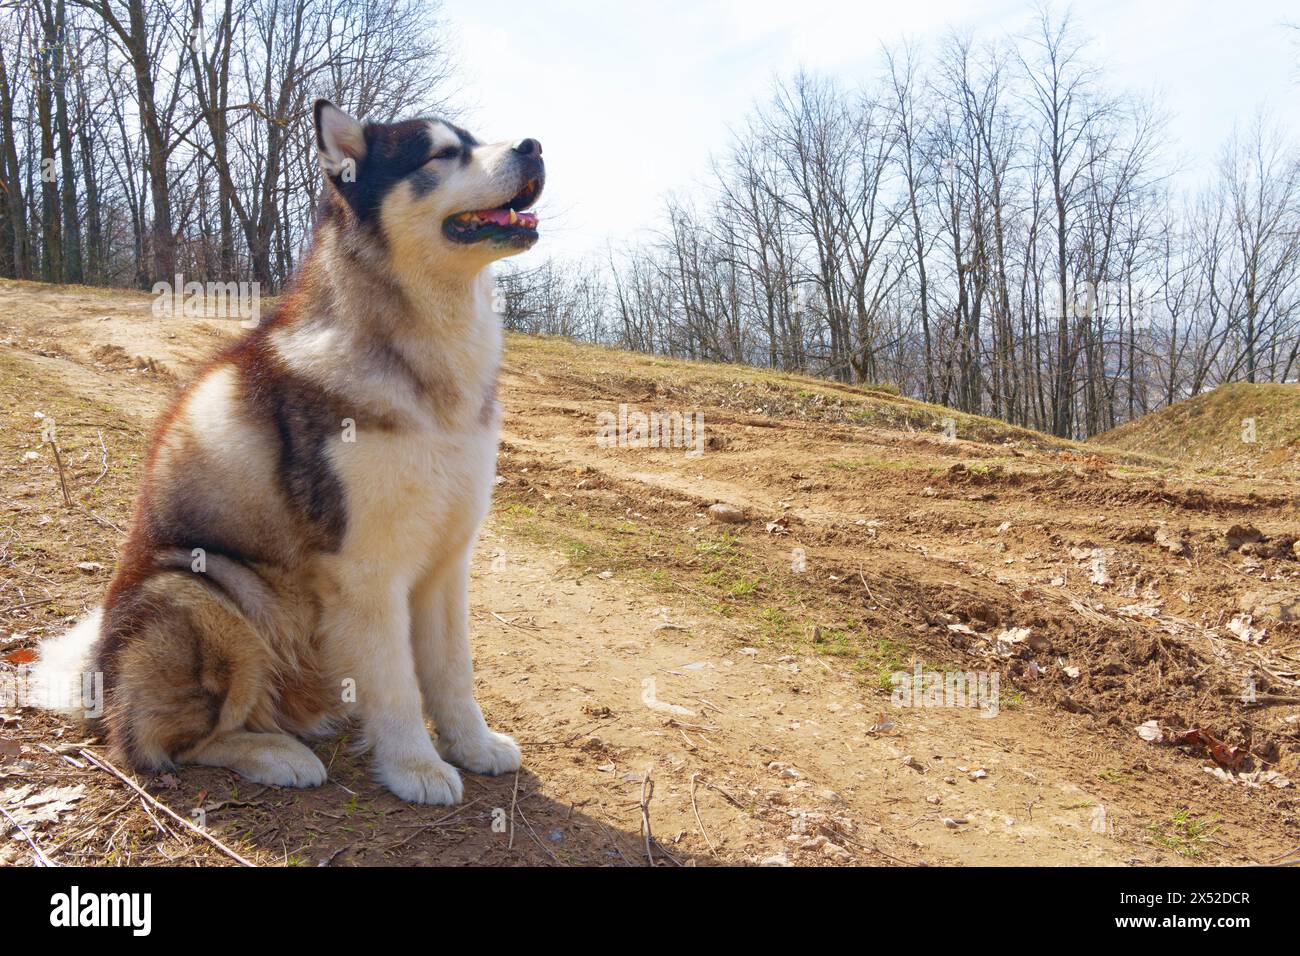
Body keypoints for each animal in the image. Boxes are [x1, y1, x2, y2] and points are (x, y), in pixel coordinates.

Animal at [26, 100, 543, 806]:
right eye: (441, 154)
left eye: (476, 138)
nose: (534, 146)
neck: (426, 349)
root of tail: (96, 679)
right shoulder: (365, 570)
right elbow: (397, 685)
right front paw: (414, 766)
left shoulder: (446, 561)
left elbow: (452, 672)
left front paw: (473, 745)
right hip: (203, 592)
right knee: (161, 744)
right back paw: (276, 754)